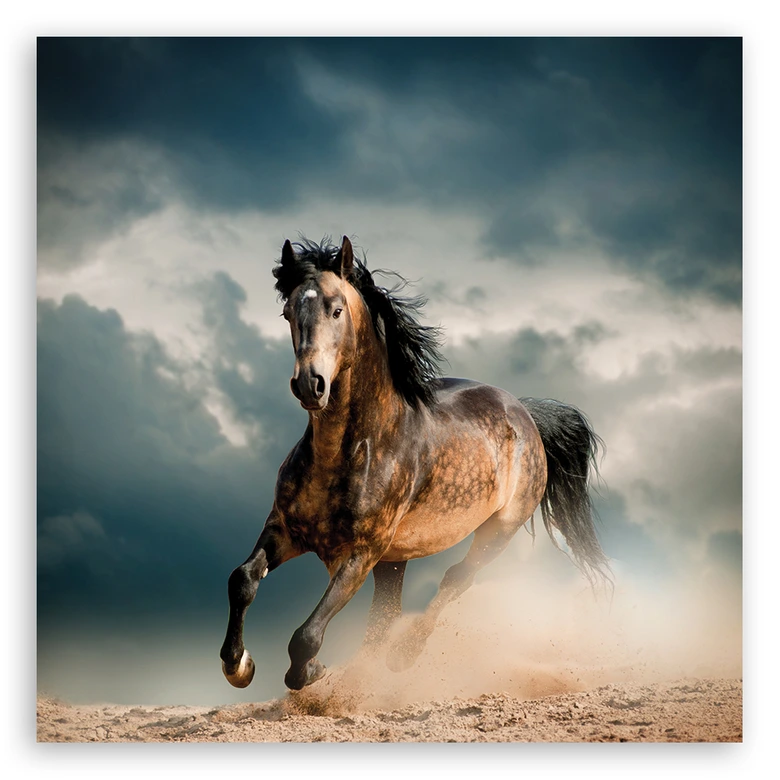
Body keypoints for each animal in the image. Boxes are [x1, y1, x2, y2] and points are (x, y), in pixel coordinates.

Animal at [219, 235, 610, 691]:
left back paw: (402, 657)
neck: (349, 452)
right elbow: (242, 579)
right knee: (385, 614)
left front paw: (310, 671)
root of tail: (525, 413)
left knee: (455, 579)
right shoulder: (285, 529)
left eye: (336, 309)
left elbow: (306, 635)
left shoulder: (360, 554)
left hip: (497, 531)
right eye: (287, 313)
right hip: (396, 559)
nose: (309, 384)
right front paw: (238, 665)